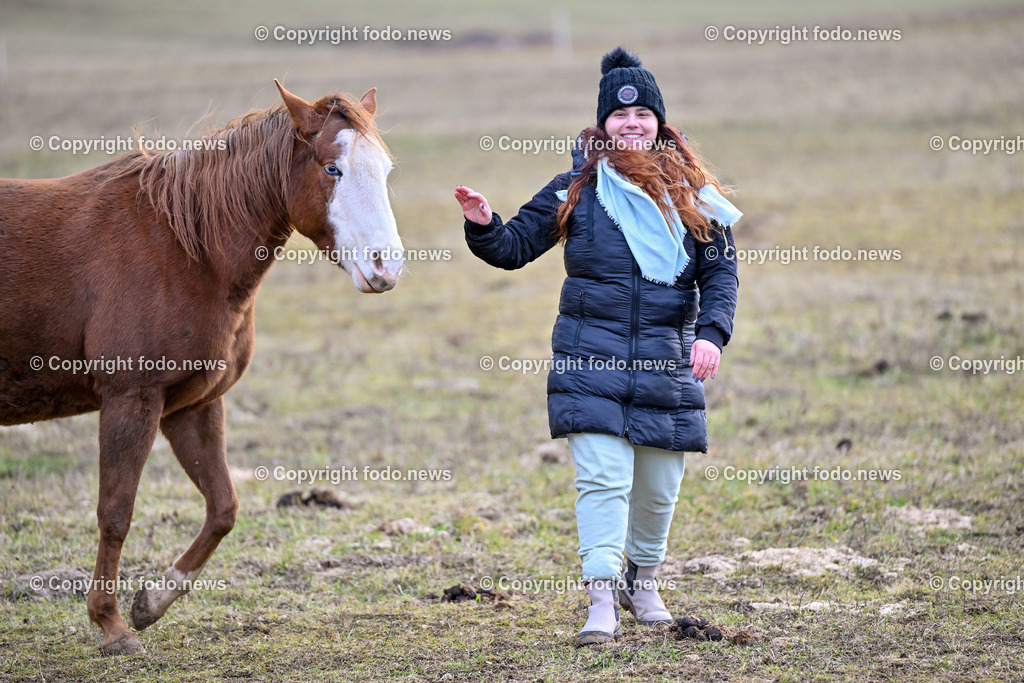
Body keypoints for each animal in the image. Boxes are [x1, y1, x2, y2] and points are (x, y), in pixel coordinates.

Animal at [0, 80, 403, 655]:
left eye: (385, 170)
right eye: (333, 169)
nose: (386, 267)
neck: (184, 248)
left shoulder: (191, 407)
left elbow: (223, 508)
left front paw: (152, 601)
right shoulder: (132, 400)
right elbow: (115, 512)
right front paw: (111, 625)